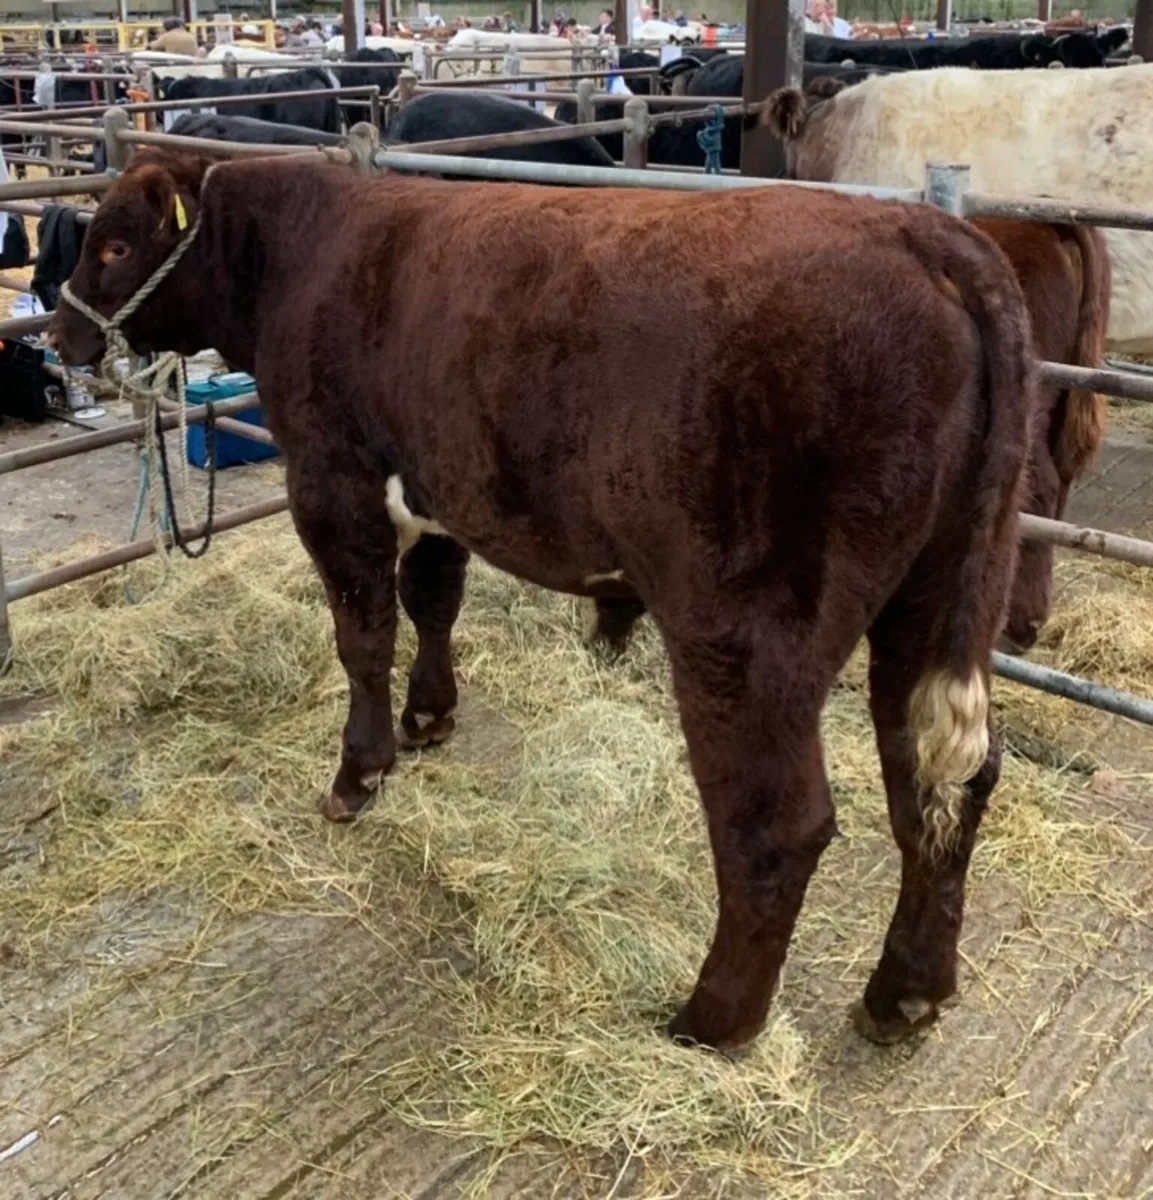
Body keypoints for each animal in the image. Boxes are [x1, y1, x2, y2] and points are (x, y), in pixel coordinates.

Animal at [53, 149, 1037, 1052]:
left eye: (114, 243)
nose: (59, 335)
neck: (304, 253)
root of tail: (924, 233)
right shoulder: (442, 487)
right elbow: (434, 603)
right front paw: (430, 716)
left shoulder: (332, 489)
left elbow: (364, 638)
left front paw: (358, 774)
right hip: (936, 595)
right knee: (946, 784)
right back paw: (904, 994)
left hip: (747, 627)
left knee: (776, 825)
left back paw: (710, 1021)